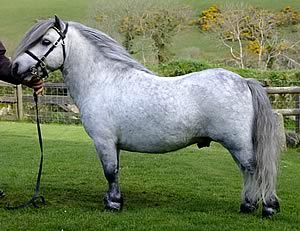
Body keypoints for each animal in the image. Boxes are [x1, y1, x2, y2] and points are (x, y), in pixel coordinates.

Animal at [11, 16, 280, 218]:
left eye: (45, 41)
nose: (15, 67)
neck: (102, 81)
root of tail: (243, 81)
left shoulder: (104, 141)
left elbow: (109, 172)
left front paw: (113, 204)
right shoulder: (113, 144)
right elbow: (115, 172)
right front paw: (113, 199)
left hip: (237, 143)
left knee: (253, 169)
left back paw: (266, 207)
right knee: (247, 171)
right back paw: (248, 205)